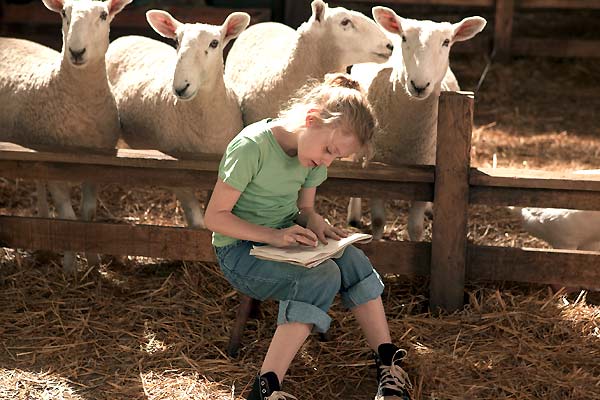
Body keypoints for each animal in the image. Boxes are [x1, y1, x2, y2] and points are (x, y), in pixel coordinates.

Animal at [0, 0, 132, 270]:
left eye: (103, 15)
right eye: (63, 13)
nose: (76, 51)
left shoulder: (97, 164)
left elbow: (88, 213)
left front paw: (93, 262)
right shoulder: (55, 165)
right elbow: (67, 218)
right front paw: (71, 267)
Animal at [105, 9, 251, 228]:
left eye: (214, 43)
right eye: (176, 40)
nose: (181, 87)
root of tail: (126, 37)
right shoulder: (177, 172)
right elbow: (198, 223)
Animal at [346, 7, 488, 241]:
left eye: (446, 42)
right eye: (404, 38)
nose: (419, 86)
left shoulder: (426, 169)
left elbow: (415, 227)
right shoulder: (378, 166)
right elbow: (378, 220)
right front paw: (376, 241)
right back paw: (354, 215)